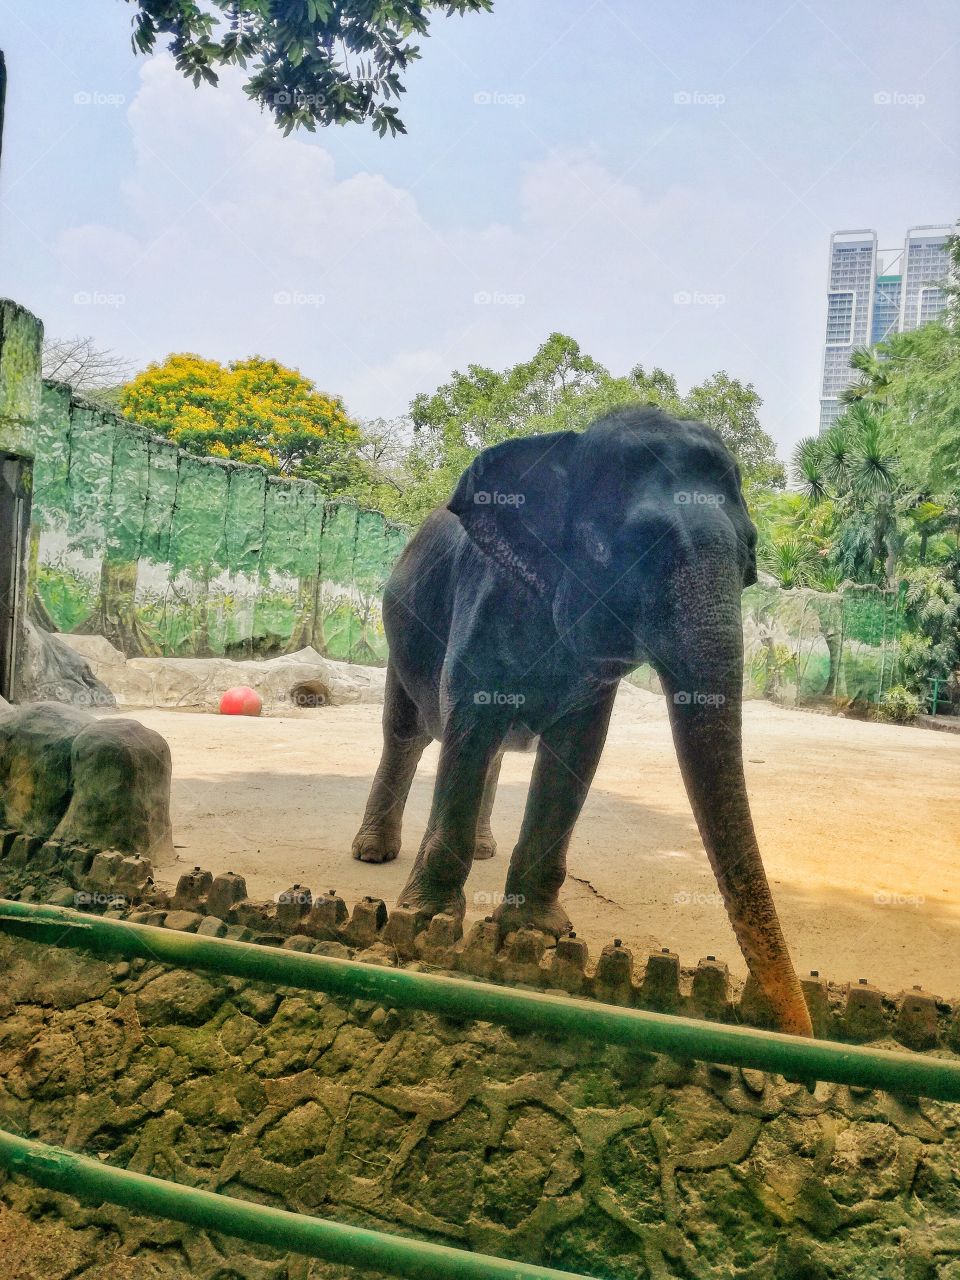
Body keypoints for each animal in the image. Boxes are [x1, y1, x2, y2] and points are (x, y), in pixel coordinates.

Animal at [351, 404, 812, 1037]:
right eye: (631, 547)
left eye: (749, 557)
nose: (798, 1030)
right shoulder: (485, 599)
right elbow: (470, 721)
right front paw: (425, 924)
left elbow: (579, 745)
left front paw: (537, 932)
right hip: (400, 639)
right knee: (409, 734)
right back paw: (372, 852)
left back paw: (484, 851)